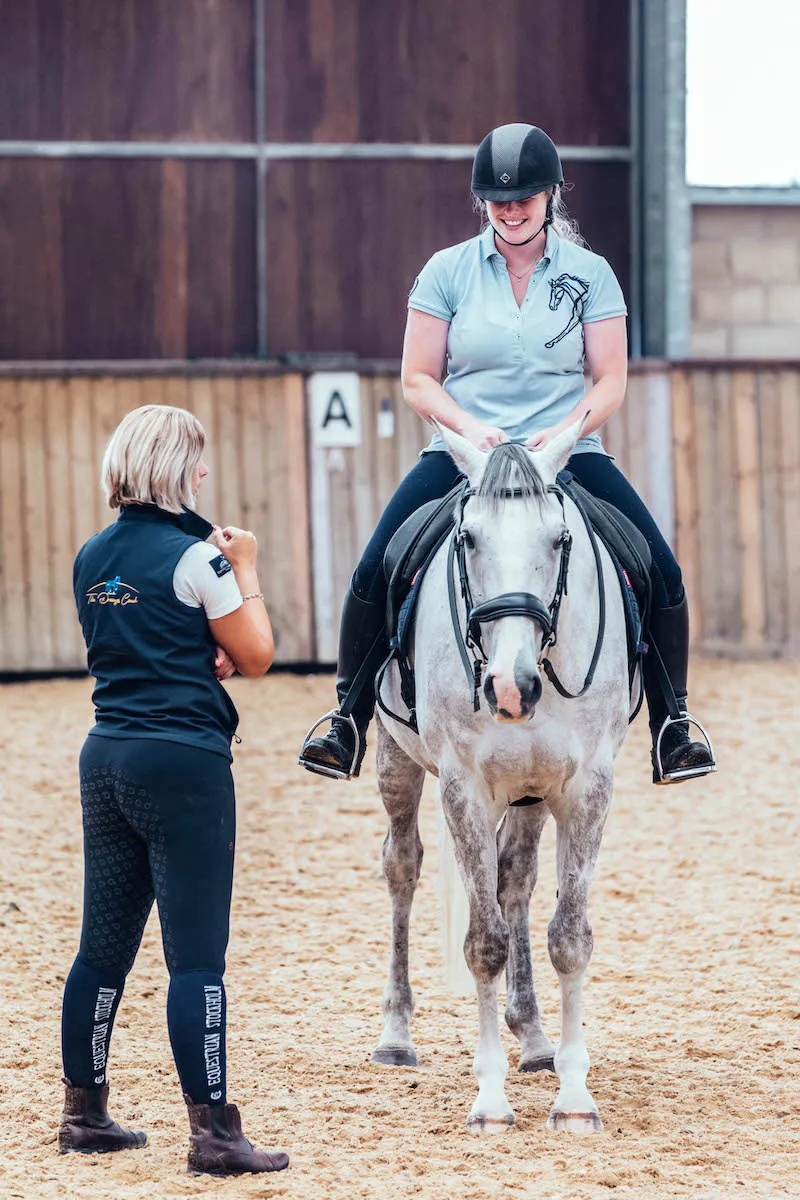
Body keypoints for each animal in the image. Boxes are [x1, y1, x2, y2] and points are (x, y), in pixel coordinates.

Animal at [371, 417, 633, 1128]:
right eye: (468, 538)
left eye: (559, 538)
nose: (510, 689)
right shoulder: (464, 787)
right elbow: (483, 941)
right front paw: (490, 1101)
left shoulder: (586, 789)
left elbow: (568, 936)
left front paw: (574, 1099)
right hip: (396, 760)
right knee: (401, 866)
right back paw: (396, 1034)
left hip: (530, 793)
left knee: (514, 882)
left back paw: (535, 1037)